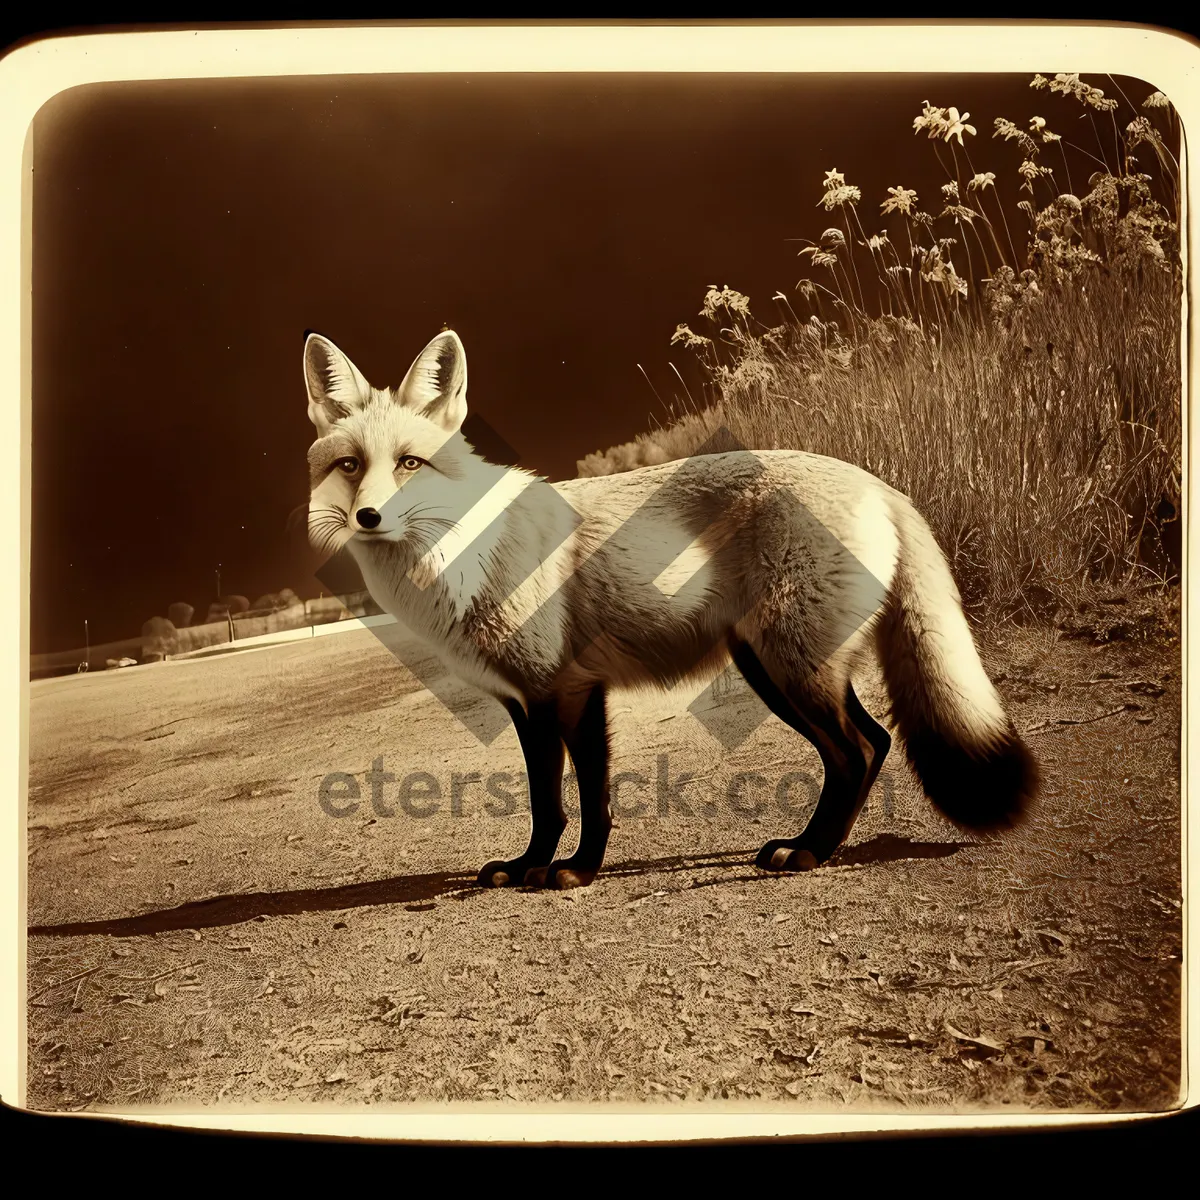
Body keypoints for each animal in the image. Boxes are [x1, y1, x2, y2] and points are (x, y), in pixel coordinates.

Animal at [304, 328, 1036, 892]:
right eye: (350, 465)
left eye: (409, 464)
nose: (369, 517)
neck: (463, 556)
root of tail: (883, 485)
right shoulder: (528, 700)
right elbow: (550, 801)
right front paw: (530, 866)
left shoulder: (565, 690)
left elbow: (576, 799)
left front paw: (575, 872)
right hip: (775, 668)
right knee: (874, 743)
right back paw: (815, 844)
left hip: (791, 670)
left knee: (858, 750)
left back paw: (807, 852)